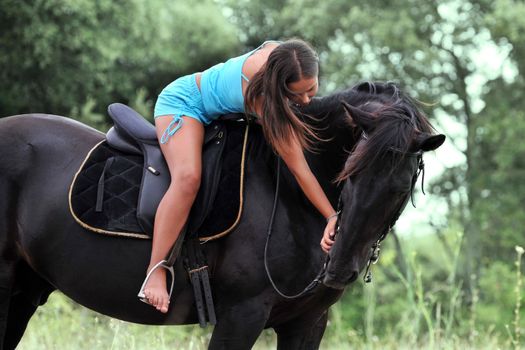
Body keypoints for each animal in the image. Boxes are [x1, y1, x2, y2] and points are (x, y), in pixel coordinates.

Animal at [0, 82, 442, 350]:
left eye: (400, 187)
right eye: (348, 173)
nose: (339, 267)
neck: (288, 192)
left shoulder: (307, 322)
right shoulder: (241, 316)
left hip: (25, 290)